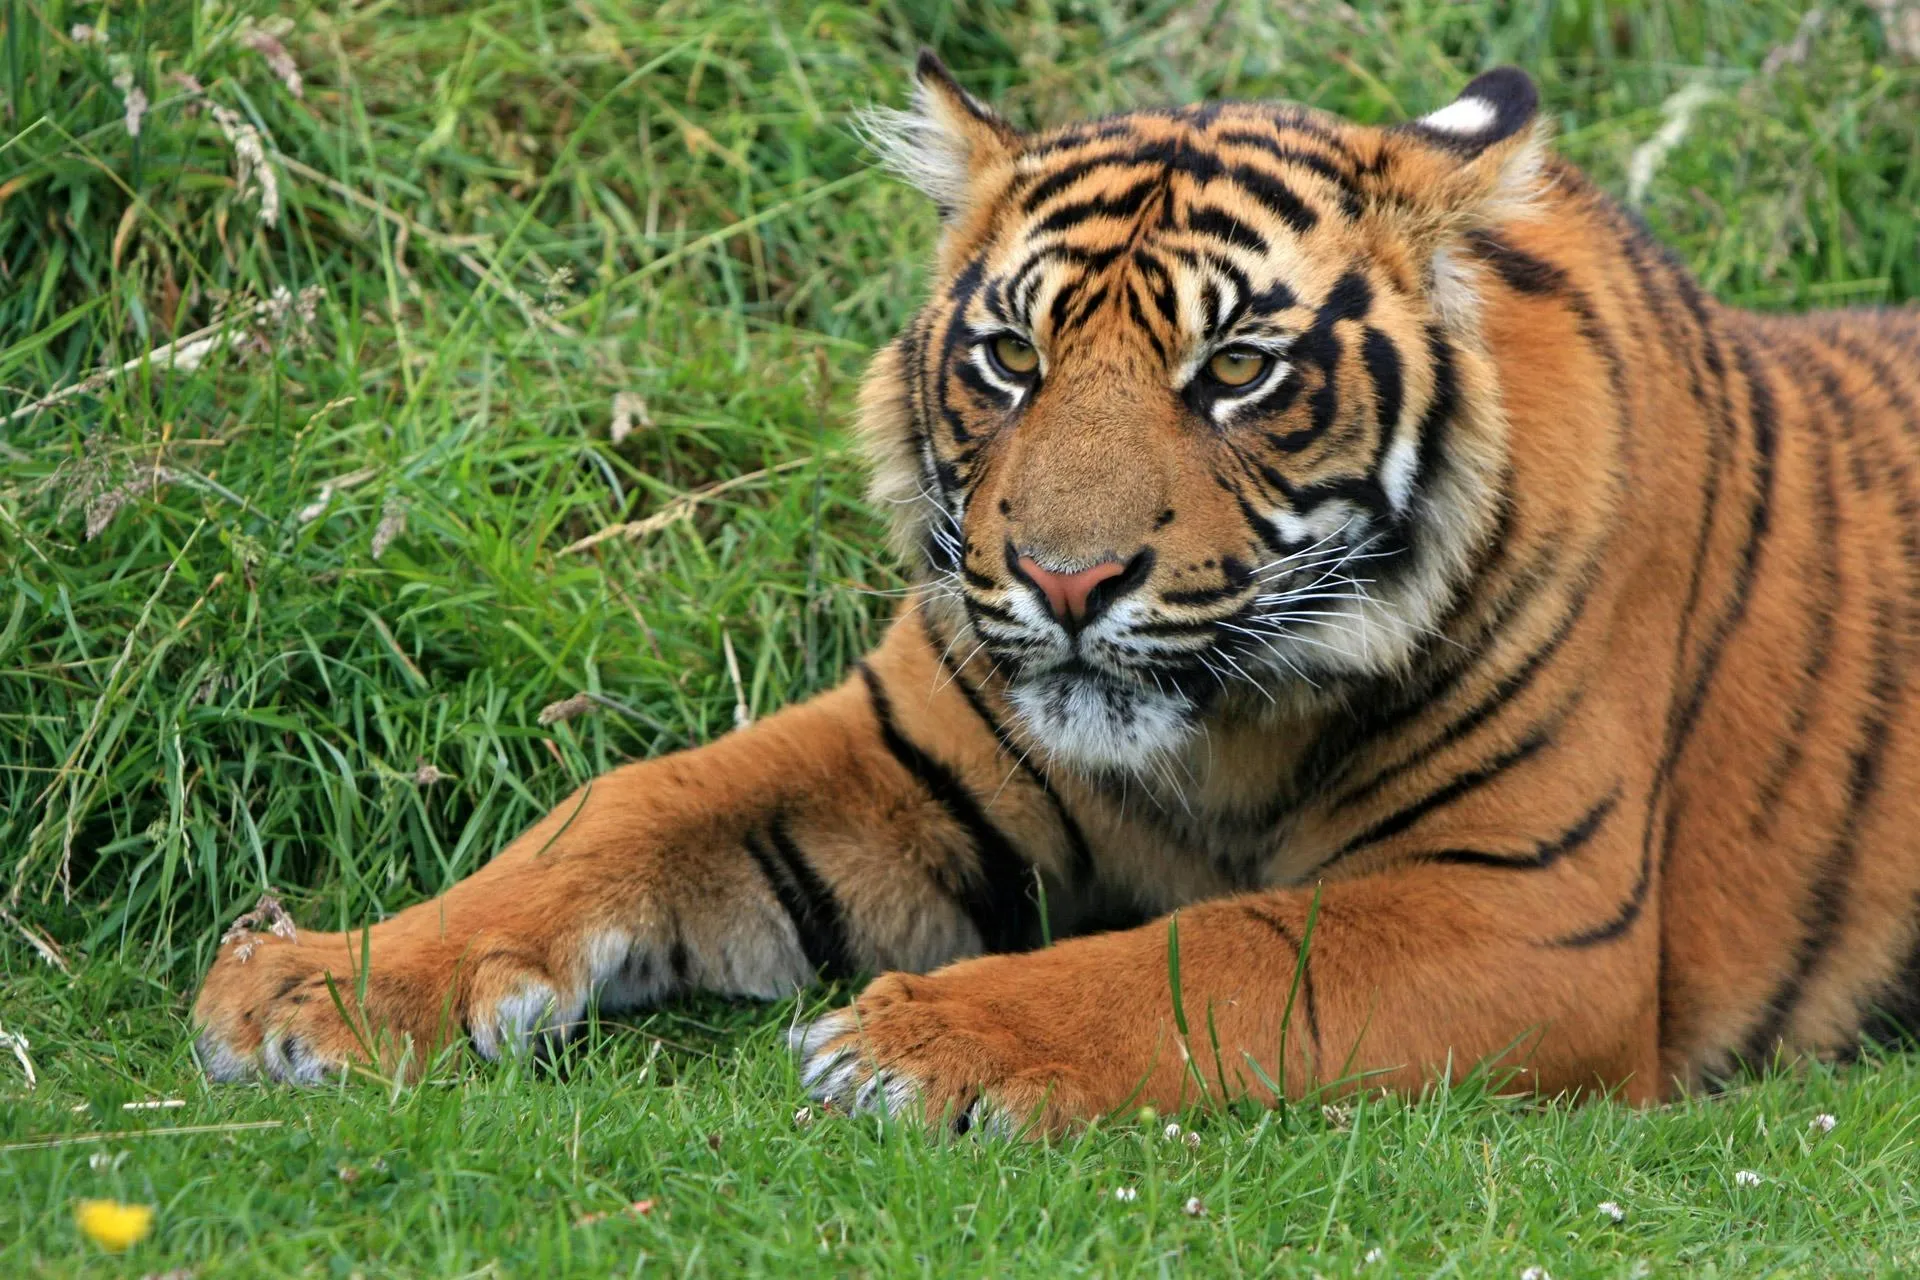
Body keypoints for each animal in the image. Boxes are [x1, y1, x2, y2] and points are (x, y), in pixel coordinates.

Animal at [191, 54, 1920, 1134]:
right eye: (1012, 357)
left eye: (1236, 370)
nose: (1067, 578)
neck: (1218, 737)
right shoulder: (899, 748)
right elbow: (619, 809)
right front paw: (315, 984)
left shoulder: (1530, 909)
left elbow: (1223, 950)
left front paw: (920, 1040)